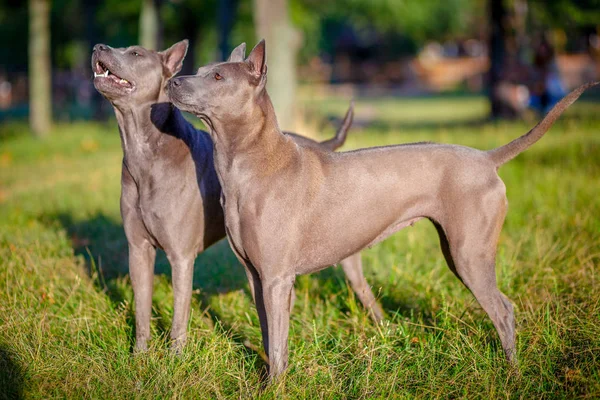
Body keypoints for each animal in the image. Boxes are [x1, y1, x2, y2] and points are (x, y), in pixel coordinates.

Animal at [92, 39, 384, 354]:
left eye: (135, 53)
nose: (98, 46)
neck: (145, 151)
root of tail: (319, 145)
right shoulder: (138, 249)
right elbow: (142, 310)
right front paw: (139, 356)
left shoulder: (181, 257)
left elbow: (179, 316)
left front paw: (174, 358)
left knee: (364, 292)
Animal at [169, 39, 600, 376]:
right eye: (201, 70)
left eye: (218, 77)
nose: (173, 80)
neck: (250, 164)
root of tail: (487, 158)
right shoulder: (257, 278)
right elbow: (270, 339)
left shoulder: (276, 278)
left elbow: (276, 344)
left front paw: (274, 386)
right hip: (457, 250)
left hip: (468, 255)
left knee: (504, 310)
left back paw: (511, 373)